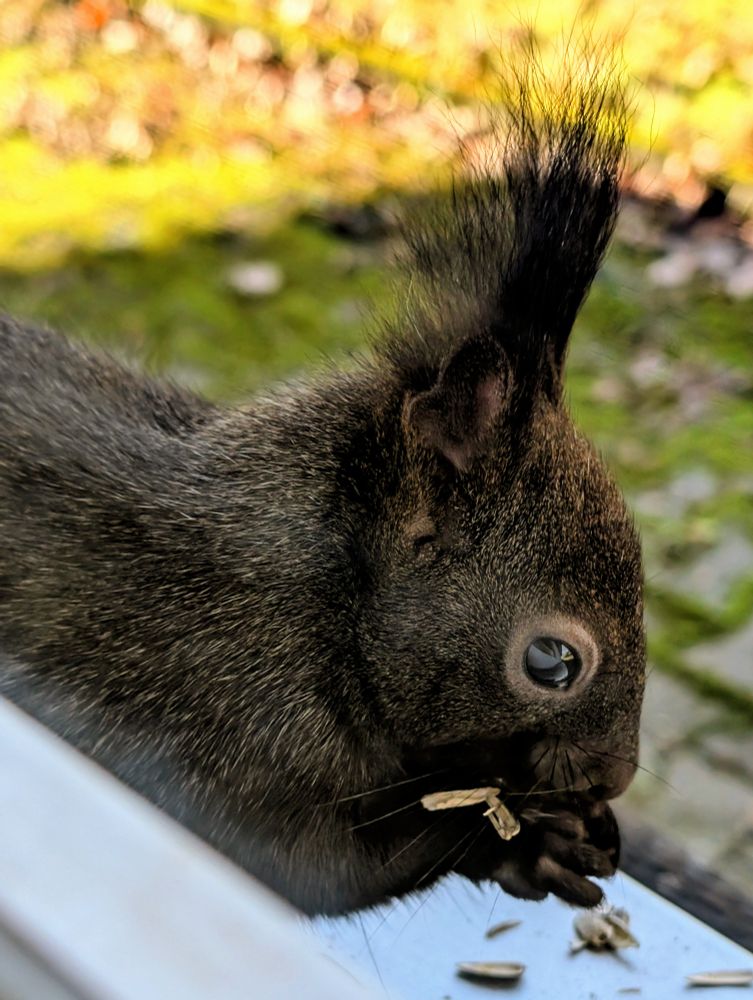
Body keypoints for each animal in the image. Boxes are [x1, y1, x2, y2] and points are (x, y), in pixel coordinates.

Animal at [0, 47, 645, 917]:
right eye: (551, 663)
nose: (615, 773)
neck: (320, 600)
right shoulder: (221, 720)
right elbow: (336, 862)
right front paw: (530, 836)